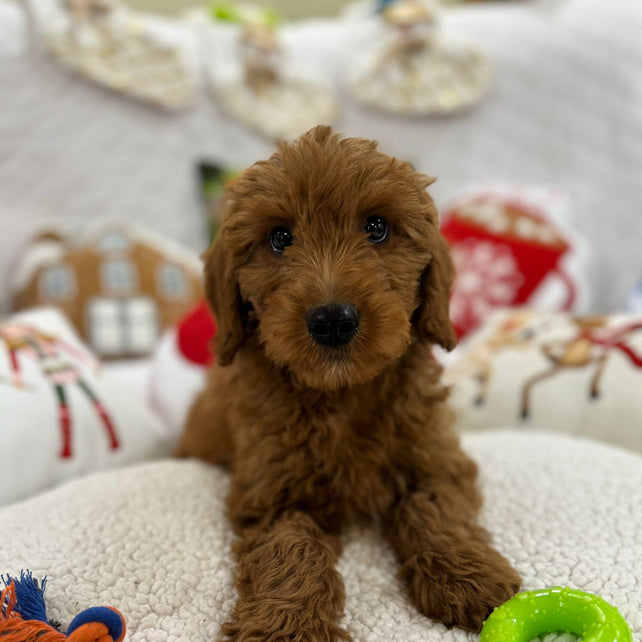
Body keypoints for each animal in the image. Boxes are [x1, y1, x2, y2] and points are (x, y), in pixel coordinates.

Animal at [176, 126, 520, 640]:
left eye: (377, 227)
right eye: (279, 237)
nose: (333, 320)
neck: (343, 393)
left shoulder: (436, 456)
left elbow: (435, 507)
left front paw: (470, 576)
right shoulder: (271, 491)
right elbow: (291, 547)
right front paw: (287, 625)